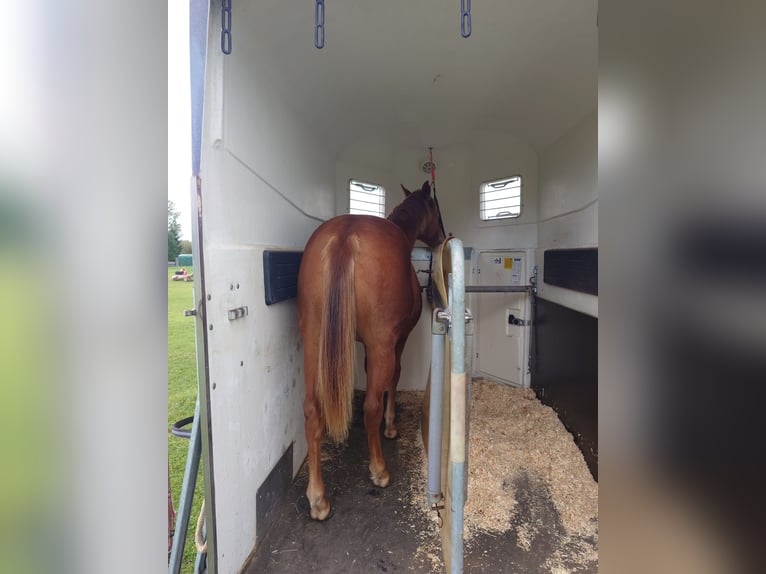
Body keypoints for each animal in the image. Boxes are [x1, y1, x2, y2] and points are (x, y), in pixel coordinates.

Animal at [297, 180, 446, 520]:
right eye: (435, 209)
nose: (443, 237)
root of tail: (344, 236)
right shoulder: (395, 341)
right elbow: (394, 379)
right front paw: (390, 426)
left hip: (313, 343)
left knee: (312, 410)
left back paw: (317, 498)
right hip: (380, 346)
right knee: (370, 407)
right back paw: (379, 471)